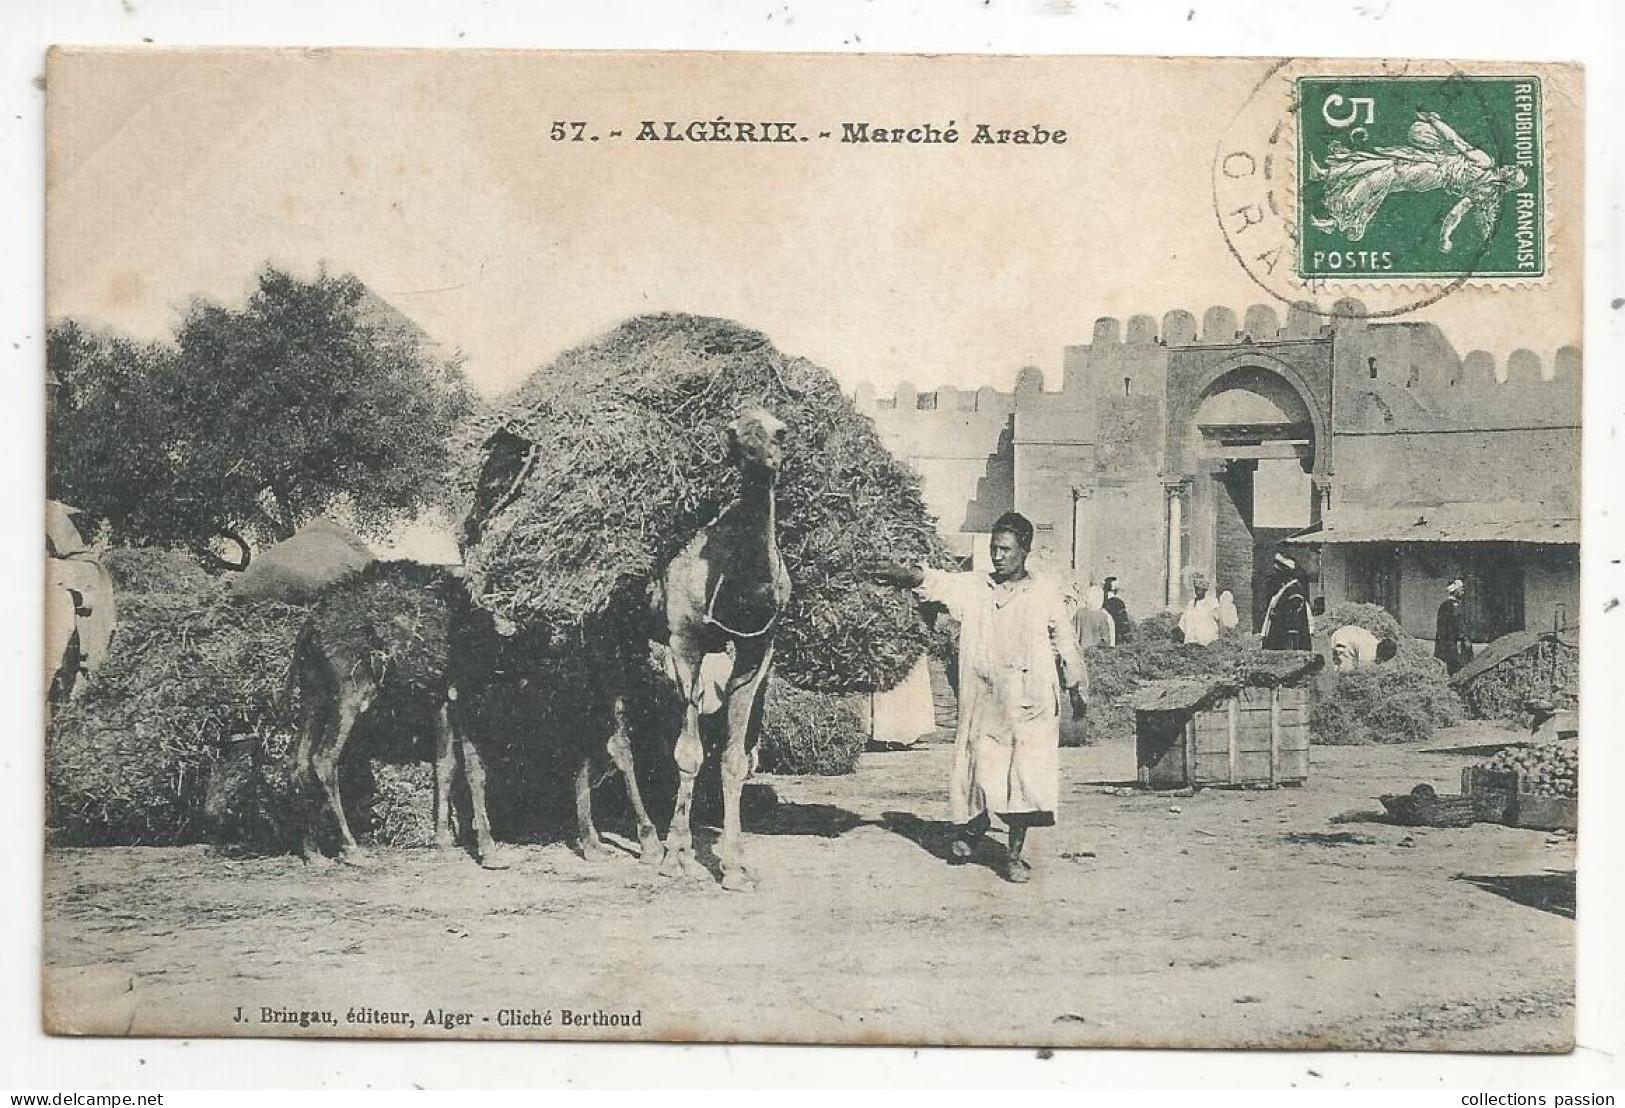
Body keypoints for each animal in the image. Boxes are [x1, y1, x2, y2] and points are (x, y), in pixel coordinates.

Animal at [653, 407, 793, 890]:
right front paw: (677, 857)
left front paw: (734, 866)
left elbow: (734, 759)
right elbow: (687, 754)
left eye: (781, 431)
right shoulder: (684, 640)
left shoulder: (757, 648)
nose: (758, 457)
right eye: (733, 432)